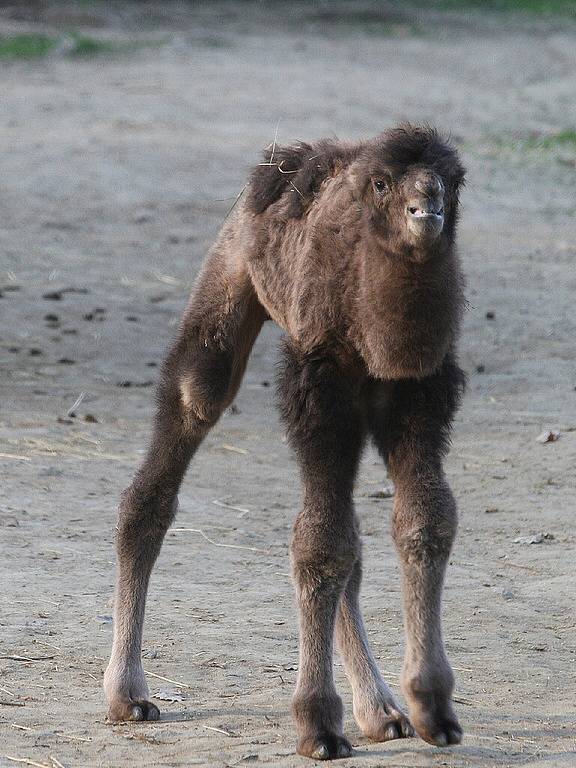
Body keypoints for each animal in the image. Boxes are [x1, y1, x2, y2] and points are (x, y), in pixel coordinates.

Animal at [103, 123, 468, 760]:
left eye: (453, 179)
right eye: (381, 184)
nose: (428, 210)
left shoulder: (420, 392)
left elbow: (424, 522)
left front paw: (432, 708)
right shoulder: (319, 385)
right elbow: (322, 545)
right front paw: (318, 726)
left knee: (352, 538)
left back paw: (381, 712)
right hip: (228, 281)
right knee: (184, 417)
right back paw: (129, 695)